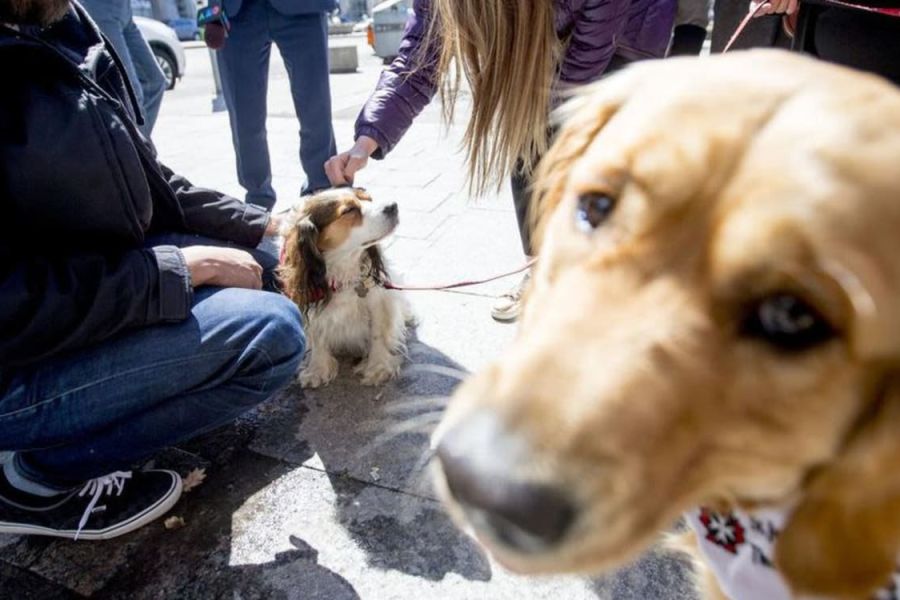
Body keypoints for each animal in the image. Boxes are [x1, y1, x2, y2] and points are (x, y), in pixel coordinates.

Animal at [280, 188, 414, 390]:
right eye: (349, 210)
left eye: (368, 198)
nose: (393, 206)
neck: (343, 267)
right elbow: (317, 336)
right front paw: (317, 370)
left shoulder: (378, 300)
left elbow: (378, 333)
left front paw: (378, 368)